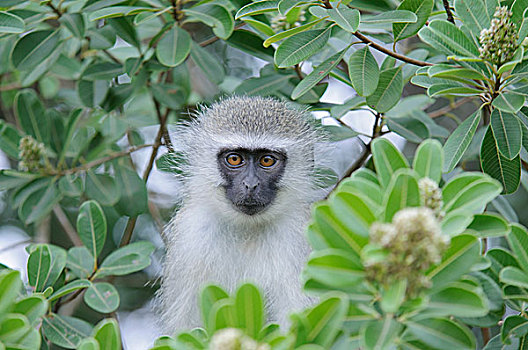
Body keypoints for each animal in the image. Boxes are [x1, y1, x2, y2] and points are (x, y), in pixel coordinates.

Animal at [157, 95, 322, 334]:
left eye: (267, 160)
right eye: (234, 159)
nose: (250, 185)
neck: (247, 230)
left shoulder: (300, 235)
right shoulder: (191, 235)